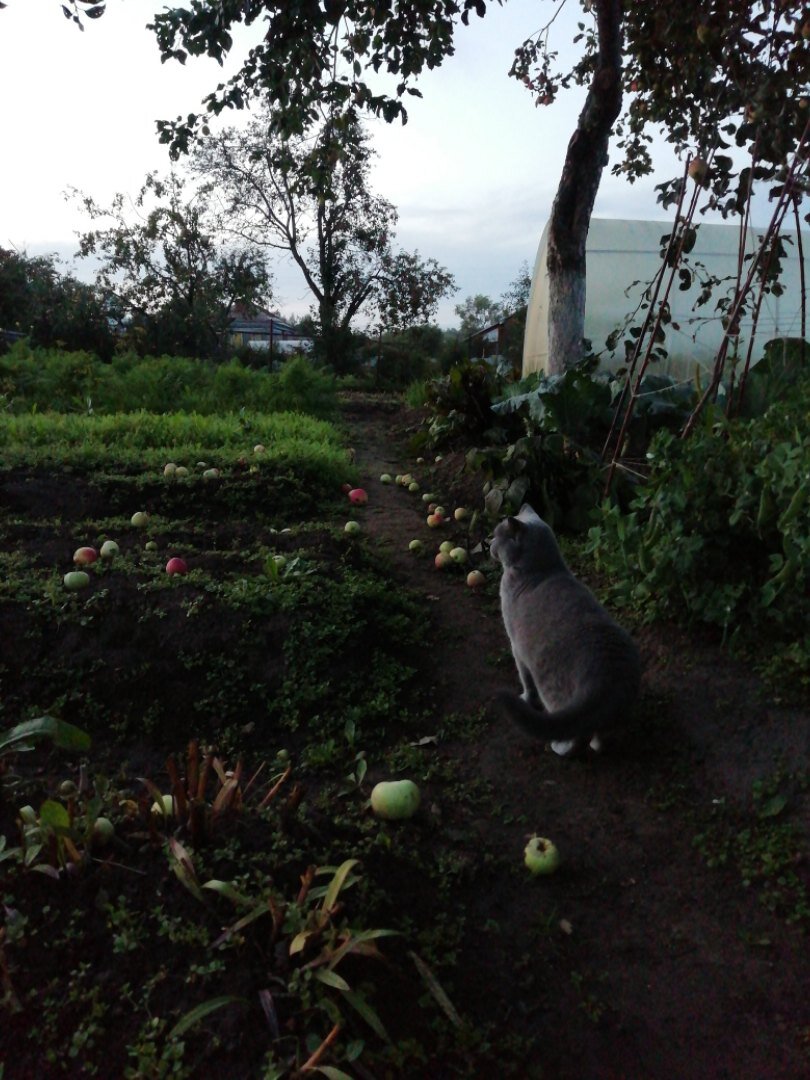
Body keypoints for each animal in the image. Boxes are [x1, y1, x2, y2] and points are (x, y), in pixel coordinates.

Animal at [492, 501, 643, 756]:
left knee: (571, 733)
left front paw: (525, 697)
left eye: (496, 535)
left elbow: (525, 680)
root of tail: (606, 676)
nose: (489, 543)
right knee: (599, 734)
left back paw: (559, 747)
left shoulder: (516, 647)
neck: (541, 570)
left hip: (552, 688)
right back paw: (596, 745)